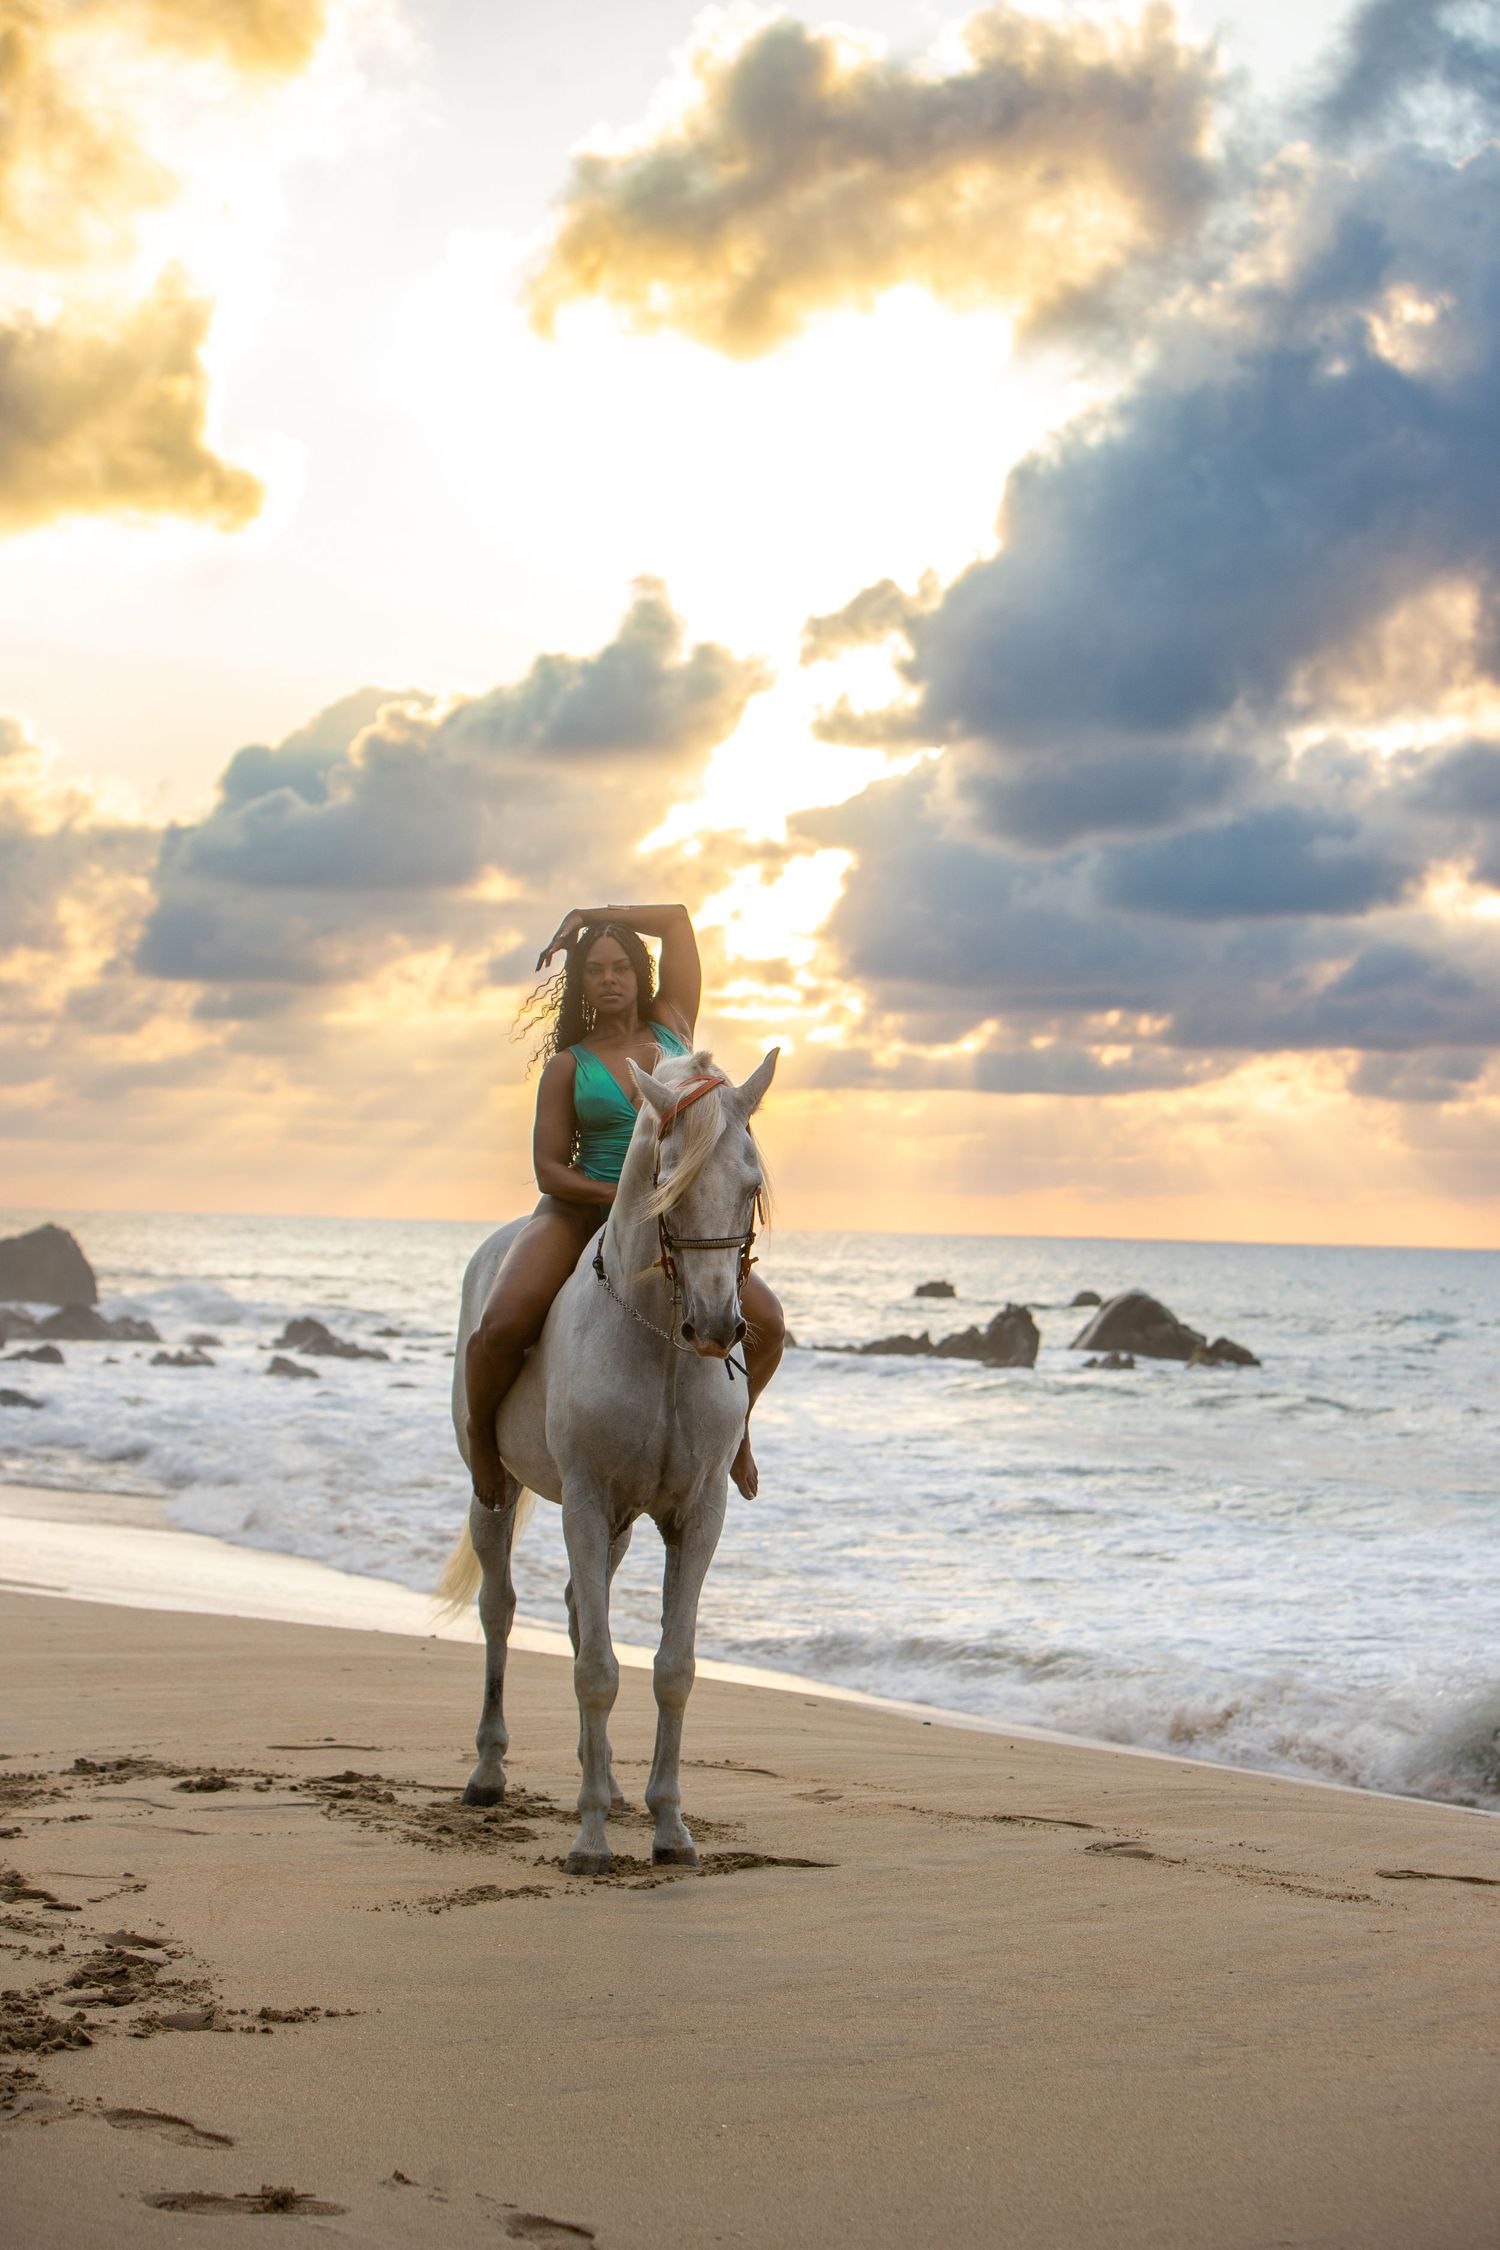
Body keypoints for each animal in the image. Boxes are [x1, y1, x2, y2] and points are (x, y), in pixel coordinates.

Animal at [437, 1044, 778, 1877]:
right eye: (667, 1182)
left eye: (751, 1186)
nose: (716, 1326)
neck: (658, 1346)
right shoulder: (587, 1505)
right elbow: (596, 1671)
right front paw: (589, 1841)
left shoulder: (696, 1515)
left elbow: (672, 1669)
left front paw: (670, 1828)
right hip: (495, 1491)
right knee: (500, 1611)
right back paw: (488, 1772)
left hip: (621, 1524)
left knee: (569, 1609)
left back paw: (615, 1787)